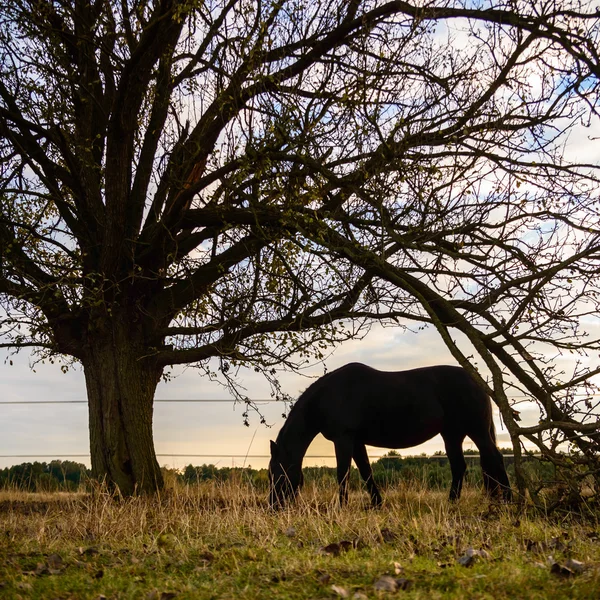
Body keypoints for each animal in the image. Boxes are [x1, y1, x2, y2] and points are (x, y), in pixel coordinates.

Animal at [270, 364, 512, 508]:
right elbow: (366, 471)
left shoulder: (344, 439)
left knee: (495, 459)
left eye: (276, 473)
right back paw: (452, 502)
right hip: (452, 435)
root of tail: (477, 381)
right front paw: (376, 503)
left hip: (477, 431)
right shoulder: (356, 441)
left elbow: (343, 473)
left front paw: (342, 506)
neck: (328, 396)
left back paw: (508, 500)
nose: (273, 506)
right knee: (460, 466)